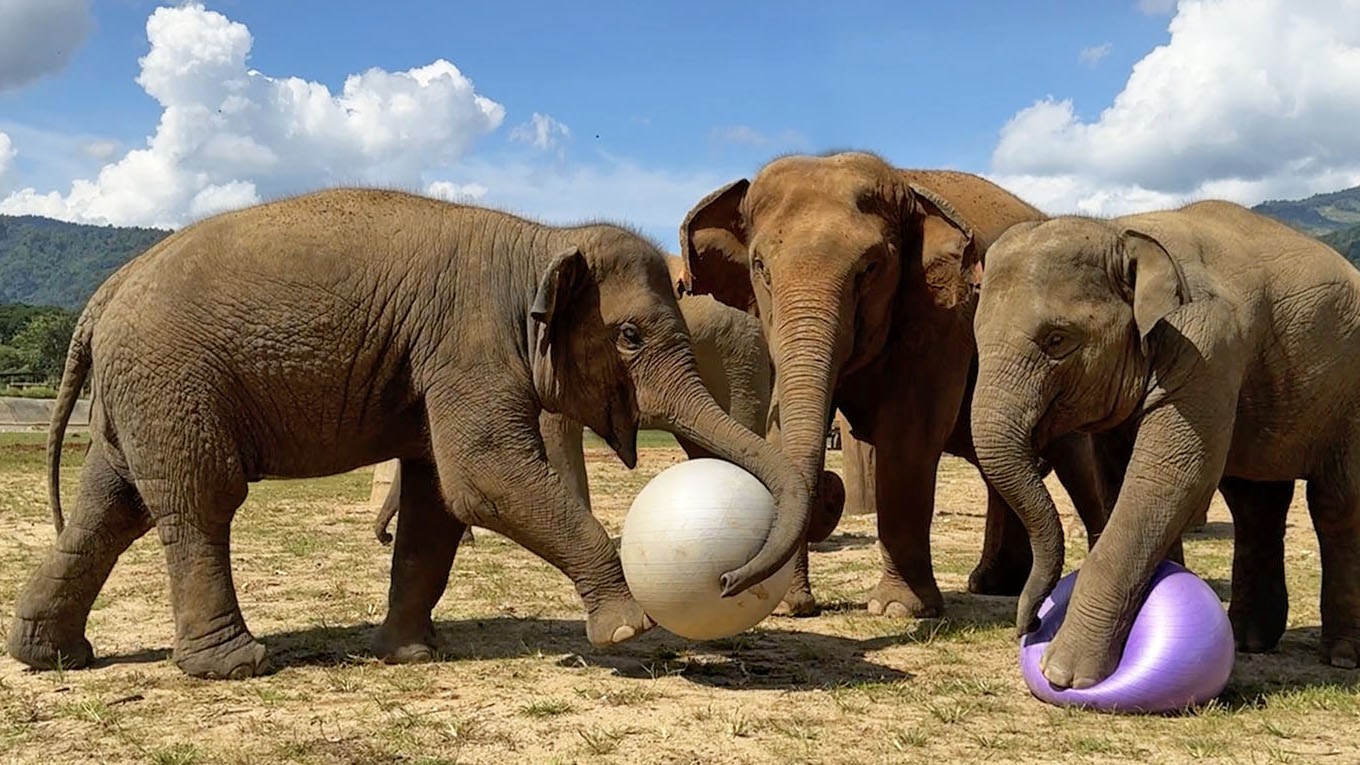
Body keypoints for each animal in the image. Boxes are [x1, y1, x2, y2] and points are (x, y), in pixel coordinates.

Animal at [9, 188, 812, 679]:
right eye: (631, 335)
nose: (730, 577)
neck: (542, 240)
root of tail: (102, 295)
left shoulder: (440, 364)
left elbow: (440, 500)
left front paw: (411, 655)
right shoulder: (469, 344)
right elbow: (482, 477)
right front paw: (626, 631)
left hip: (144, 391)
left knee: (111, 504)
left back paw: (49, 655)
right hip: (173, 380)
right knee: (199, 500)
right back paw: (236, 665)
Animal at [680, 151, 1111, 617]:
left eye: (868, 269)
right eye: (760, 268)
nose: (727, 582)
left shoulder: (943, 314)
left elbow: (909, 434)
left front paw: (899, 609)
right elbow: (778, 433)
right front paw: (785, 605)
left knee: (1073, 459)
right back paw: (995, 585)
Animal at [971, 200, 1360, 689]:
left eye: (1056, 340)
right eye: (975, 337)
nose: (1031, 626)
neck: (1122, 232)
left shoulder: (1206, 347)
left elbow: (1171, 476)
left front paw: (1064, 674)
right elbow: (1119, 480)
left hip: (1349, 398)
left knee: (1336, 505)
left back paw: (1342, 657)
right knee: (1255, 503)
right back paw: (1249, 640)